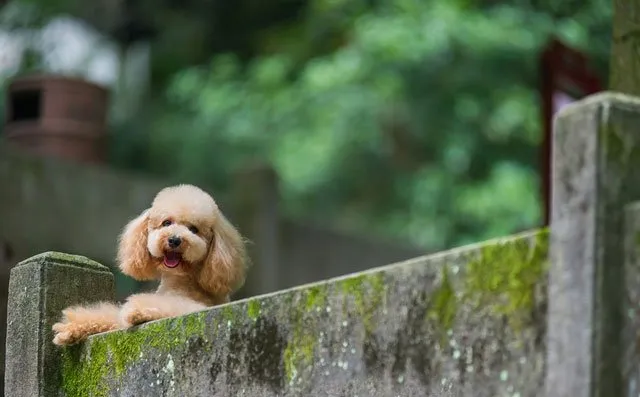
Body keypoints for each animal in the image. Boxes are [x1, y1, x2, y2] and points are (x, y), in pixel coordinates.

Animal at [52, 184, 249, 344]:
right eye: (166, 222)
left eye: (194, 229)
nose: (174, 240)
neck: (180, 280)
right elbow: (110, 316)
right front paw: (70, 328)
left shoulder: (194, 307)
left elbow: (162, 306)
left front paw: (138, 310)